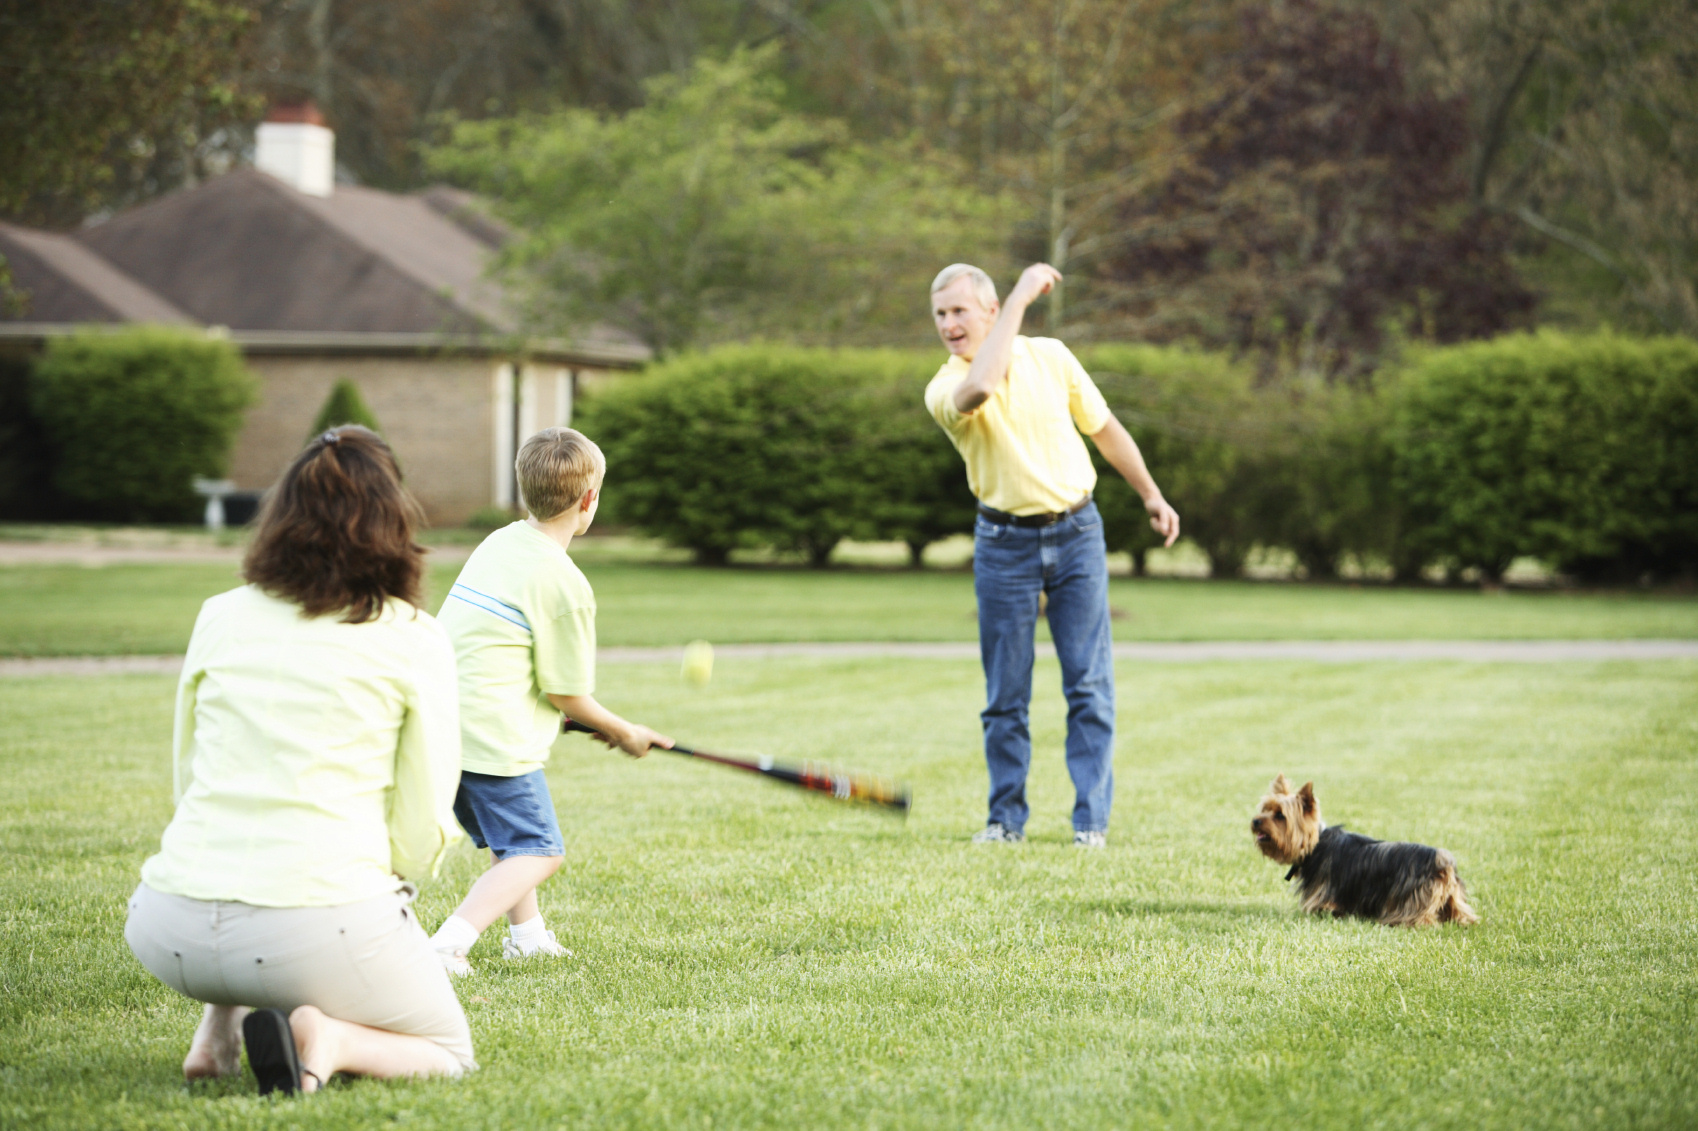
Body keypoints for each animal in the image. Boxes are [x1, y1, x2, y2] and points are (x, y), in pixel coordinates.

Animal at [1249, 774, 1473, 923]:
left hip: (1410, 903)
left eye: (1280, 815)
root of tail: (1441, 860)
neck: (1314, 845)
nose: (1255, 821)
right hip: (1454, 899)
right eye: (1265, 809)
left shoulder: (1325, 897)